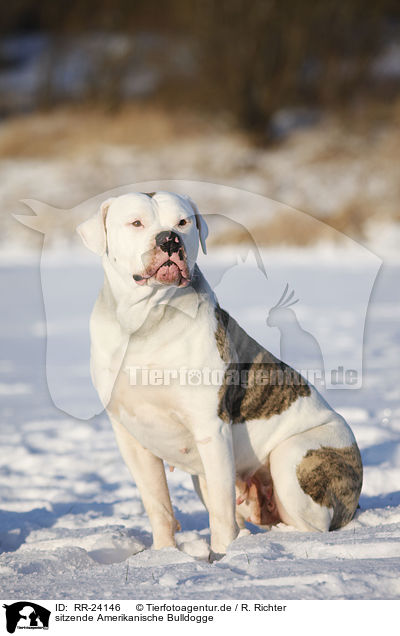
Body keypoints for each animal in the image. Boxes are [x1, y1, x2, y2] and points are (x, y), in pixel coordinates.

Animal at [77, 191, 362, 560]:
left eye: (182, 222)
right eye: (136, 223)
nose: (169, 239)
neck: (146, 322)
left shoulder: (211, 428)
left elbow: (221, 514)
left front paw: (222, 557)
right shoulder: (130, 437)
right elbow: (158, 504)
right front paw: (164, 556)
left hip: (295, 457)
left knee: (309, 525)